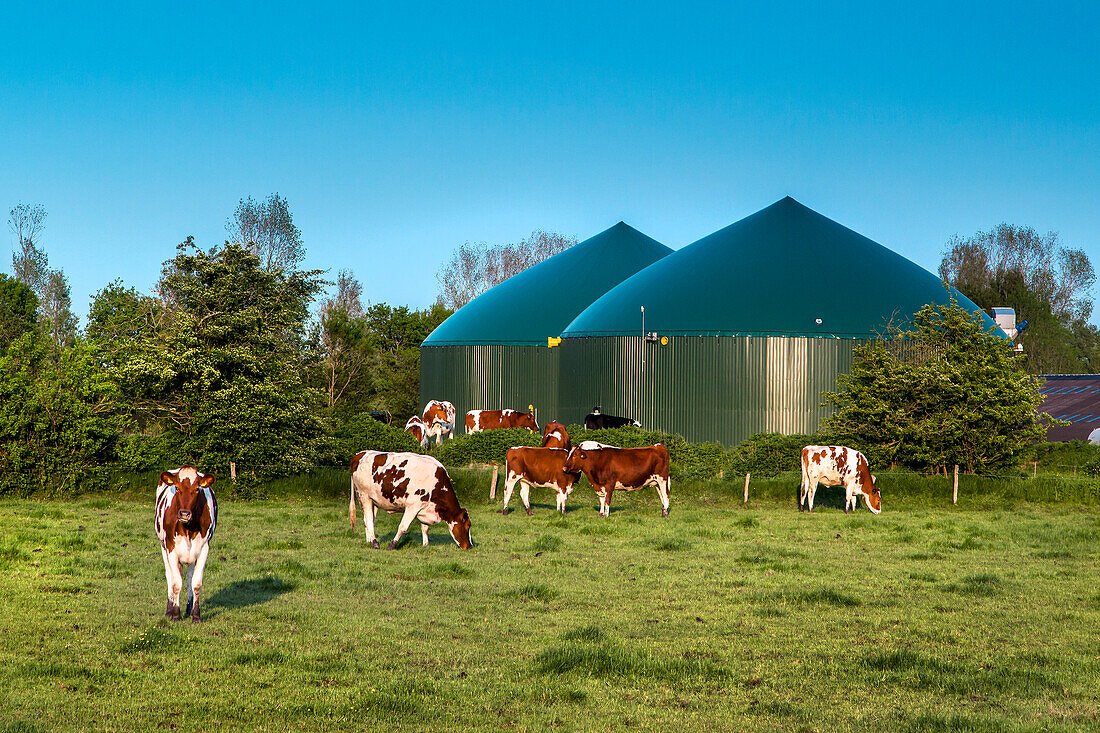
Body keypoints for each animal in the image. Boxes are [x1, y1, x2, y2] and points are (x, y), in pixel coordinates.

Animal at [155, 464, 216, 620]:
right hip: (163, 546)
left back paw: (188, 608)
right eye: (177, 488)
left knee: (188, 579)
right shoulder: (170, 548)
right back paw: (170, 608)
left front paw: (196, 615)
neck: (188, 528)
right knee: (170, 576)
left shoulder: (204, 548)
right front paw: (175, 614)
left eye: (197, 489)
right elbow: (176, 583)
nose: (184, 514)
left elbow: (196, 583)